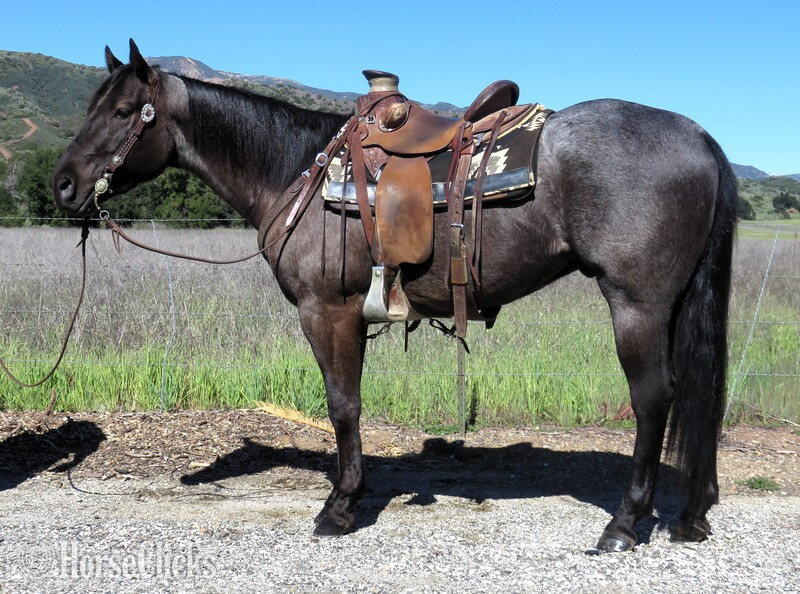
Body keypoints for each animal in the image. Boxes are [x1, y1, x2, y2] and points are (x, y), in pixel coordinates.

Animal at [51, 40, 736, 552]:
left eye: (124, 111)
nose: (63, 186)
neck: (295, 172)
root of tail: (700, 136)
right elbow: (348, 404)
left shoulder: (326, 312)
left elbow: (342, 405)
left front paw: (340, 507)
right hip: (674, 304)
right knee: (698, 392)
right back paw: (691, 515)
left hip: (637, 304)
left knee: (653, 399)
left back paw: (624, 523)